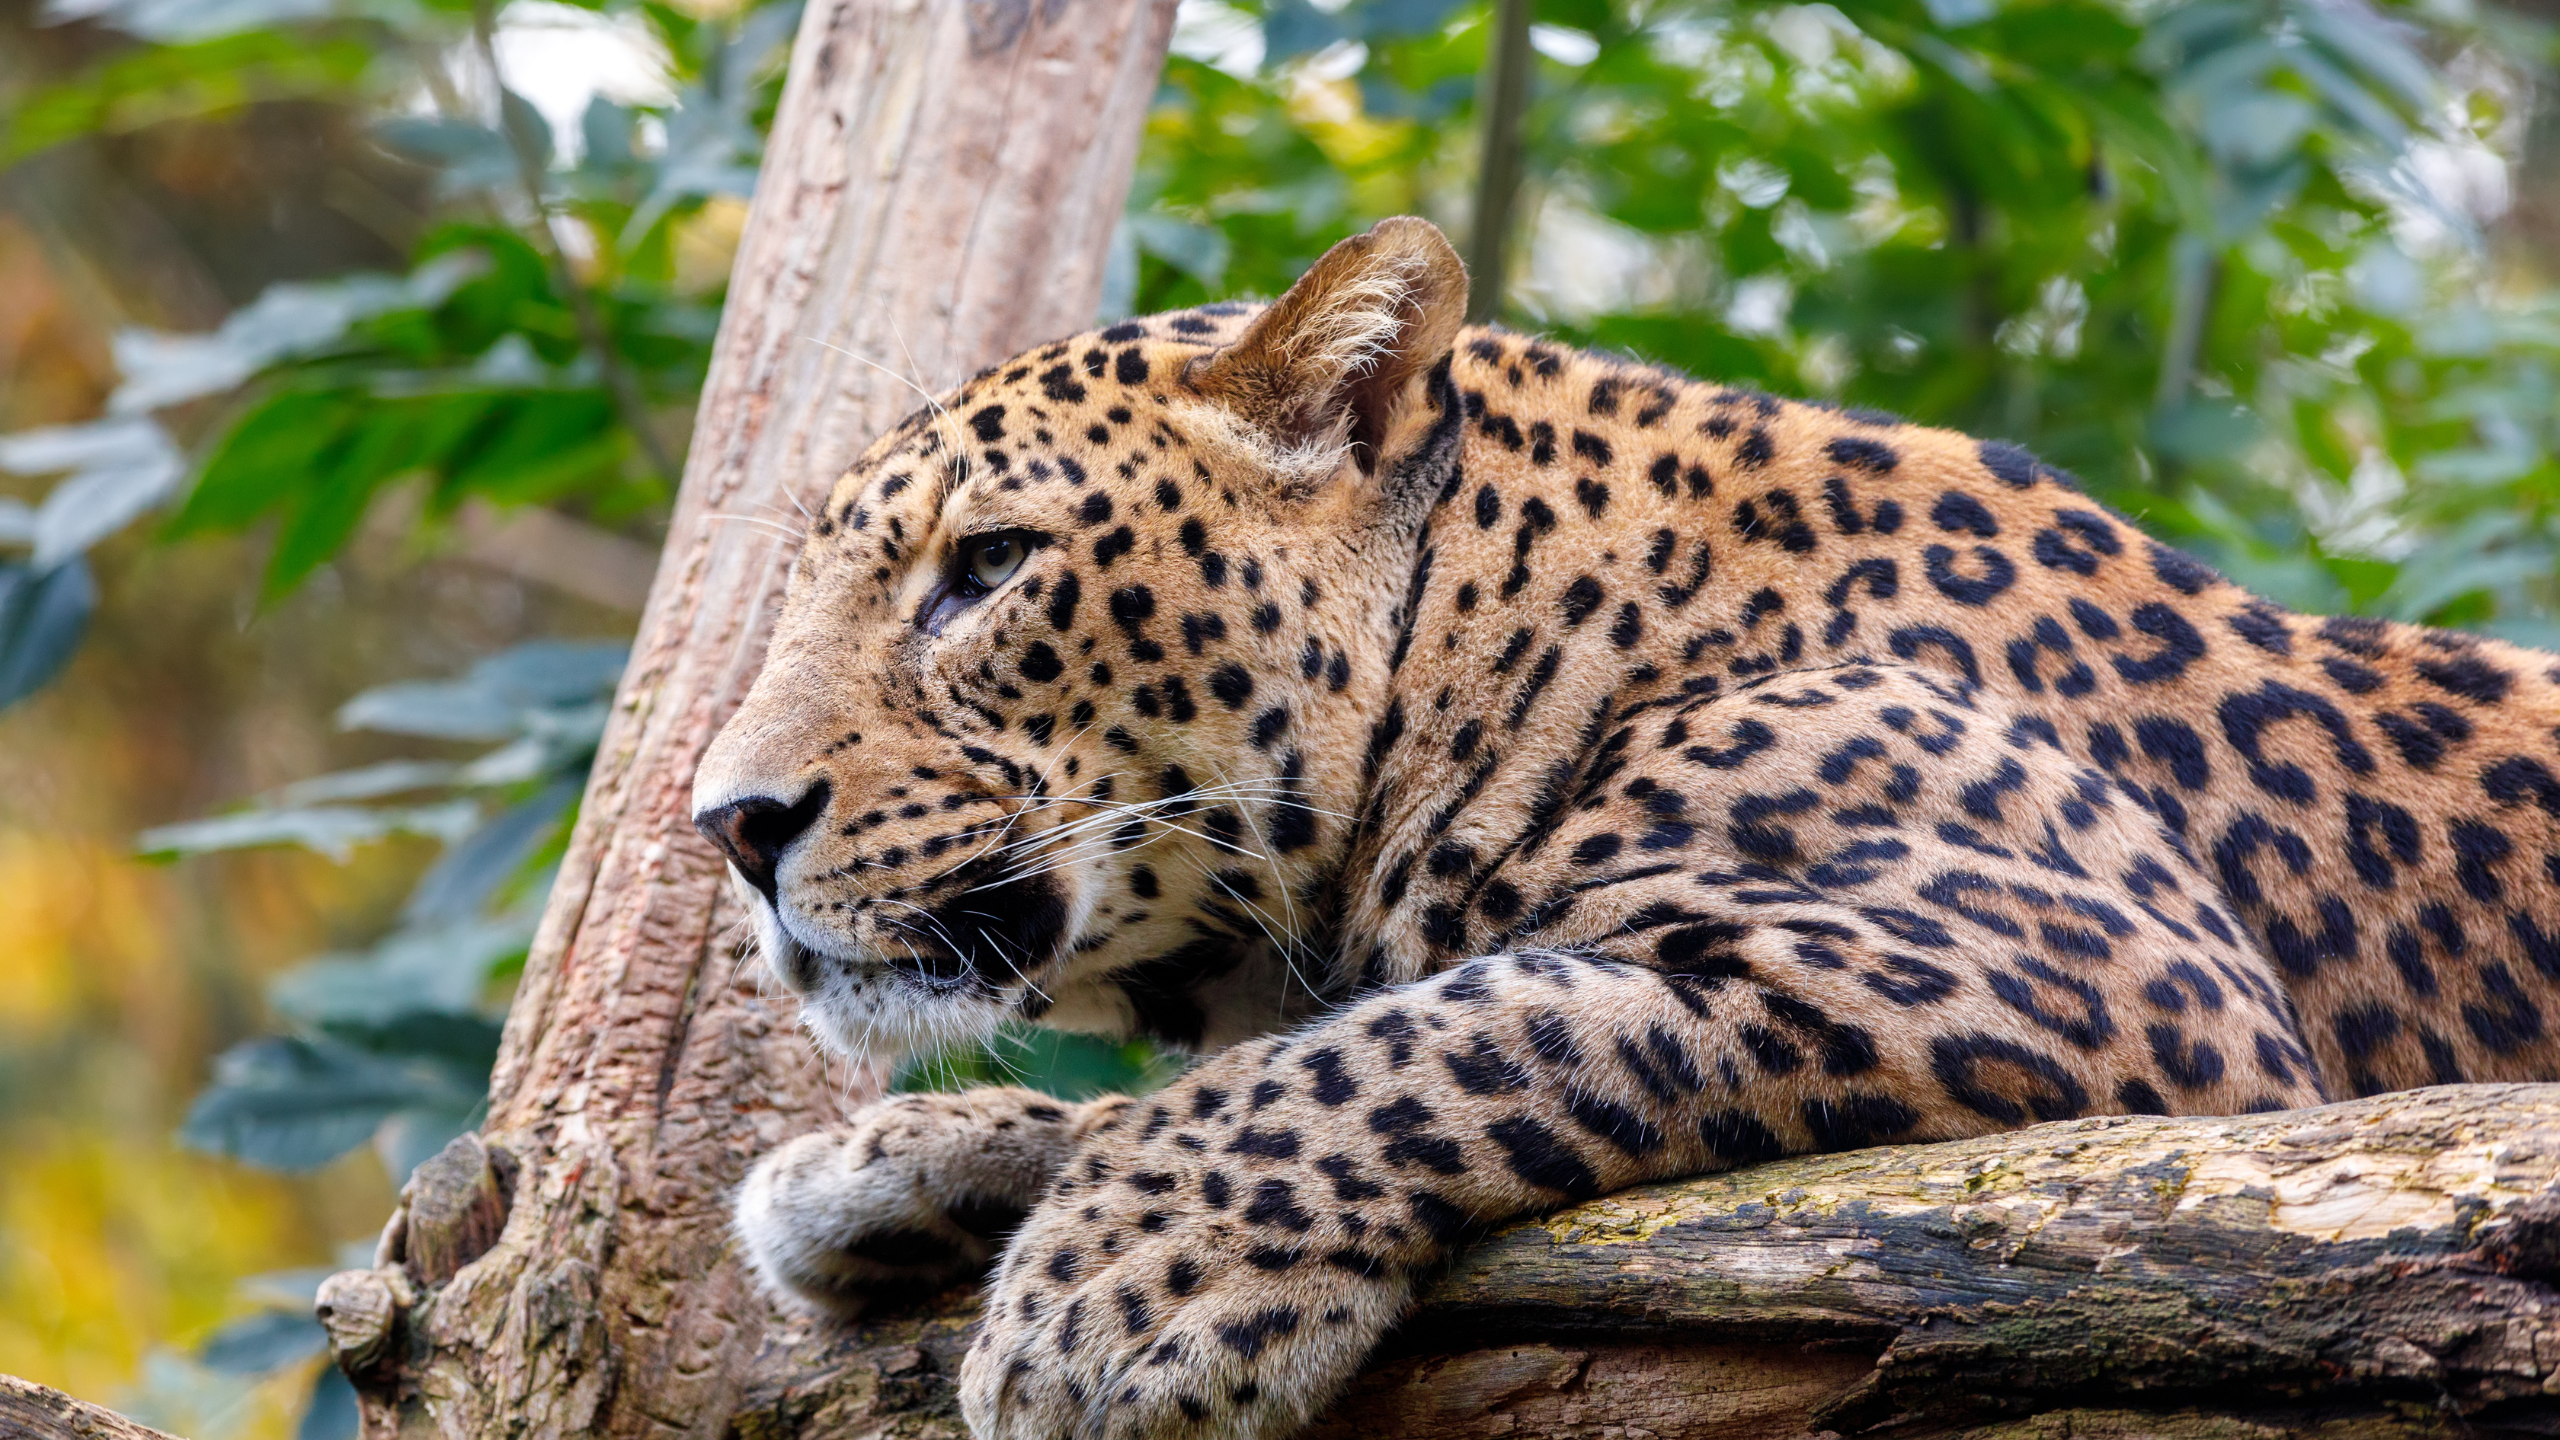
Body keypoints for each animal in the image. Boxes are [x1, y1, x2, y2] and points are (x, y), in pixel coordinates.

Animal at [691, 216, 2560, 1440]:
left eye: (992, 565)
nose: (731, 823)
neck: (1519, 636)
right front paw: (879, 1173)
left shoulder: (2108, 978)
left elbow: (1437, 1032)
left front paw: (1125, 1282)